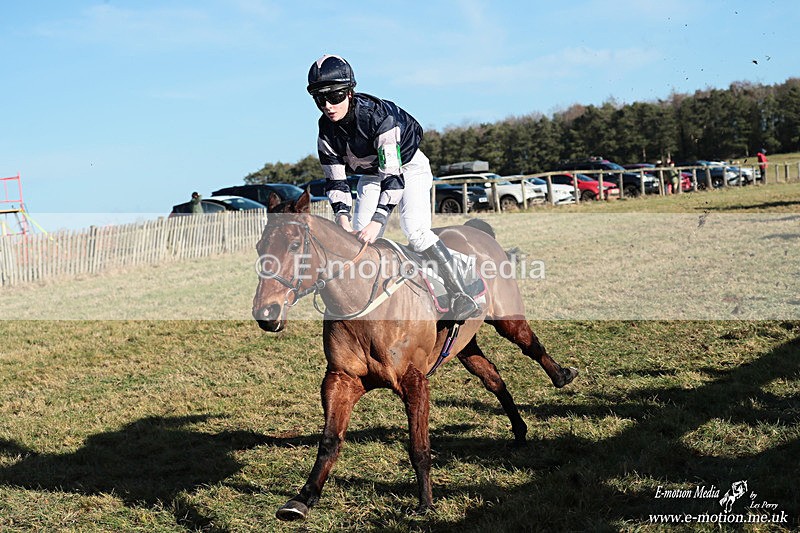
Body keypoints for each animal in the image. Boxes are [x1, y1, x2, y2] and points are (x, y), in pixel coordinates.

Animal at [254, 190, 577, 520]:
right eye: (259, 247)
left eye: (294, 245)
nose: (266, 313)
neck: (363, 302)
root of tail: (475, 230)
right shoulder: (341, 379)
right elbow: (330, 441)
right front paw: (303, 498)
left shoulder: (414, 381)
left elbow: (419, 447)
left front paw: (425, 502)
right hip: (463, 345)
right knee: (493, 377)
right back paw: (519, 429)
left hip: (507, 318)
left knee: (530, 345)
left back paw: (562, 375)